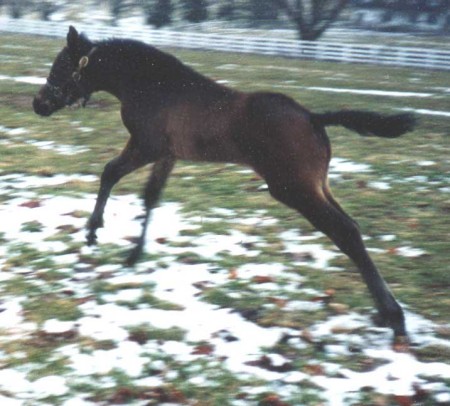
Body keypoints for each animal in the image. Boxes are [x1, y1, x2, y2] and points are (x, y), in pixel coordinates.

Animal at [33, 26, 416, 348]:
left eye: (61, 66)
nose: (39, 104)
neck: (155, 86)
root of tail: (313, 117)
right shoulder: (167, 154)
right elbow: (150, 196)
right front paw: (132, 254)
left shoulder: (146, 146)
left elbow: (110, 173)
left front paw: (93, 231)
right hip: (317, 186)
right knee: (351, 228)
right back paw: (387, 315)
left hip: (293, 189)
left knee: (345, 233)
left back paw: (394, 319)